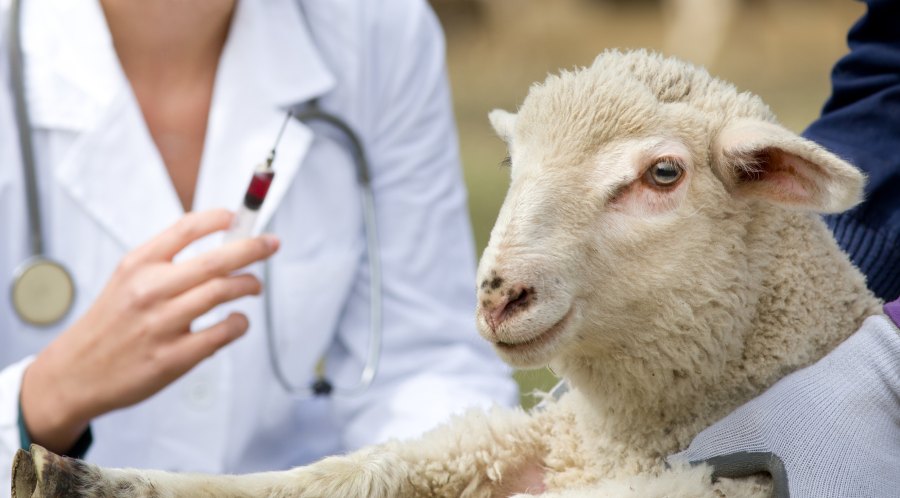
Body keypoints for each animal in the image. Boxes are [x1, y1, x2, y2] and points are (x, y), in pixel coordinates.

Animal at [11, 49, 881, 498]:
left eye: (663, 174)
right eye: (511, 162)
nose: (499, 295)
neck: (617, 443)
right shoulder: (492, 449)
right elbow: (342, 472)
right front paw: (76, 474)